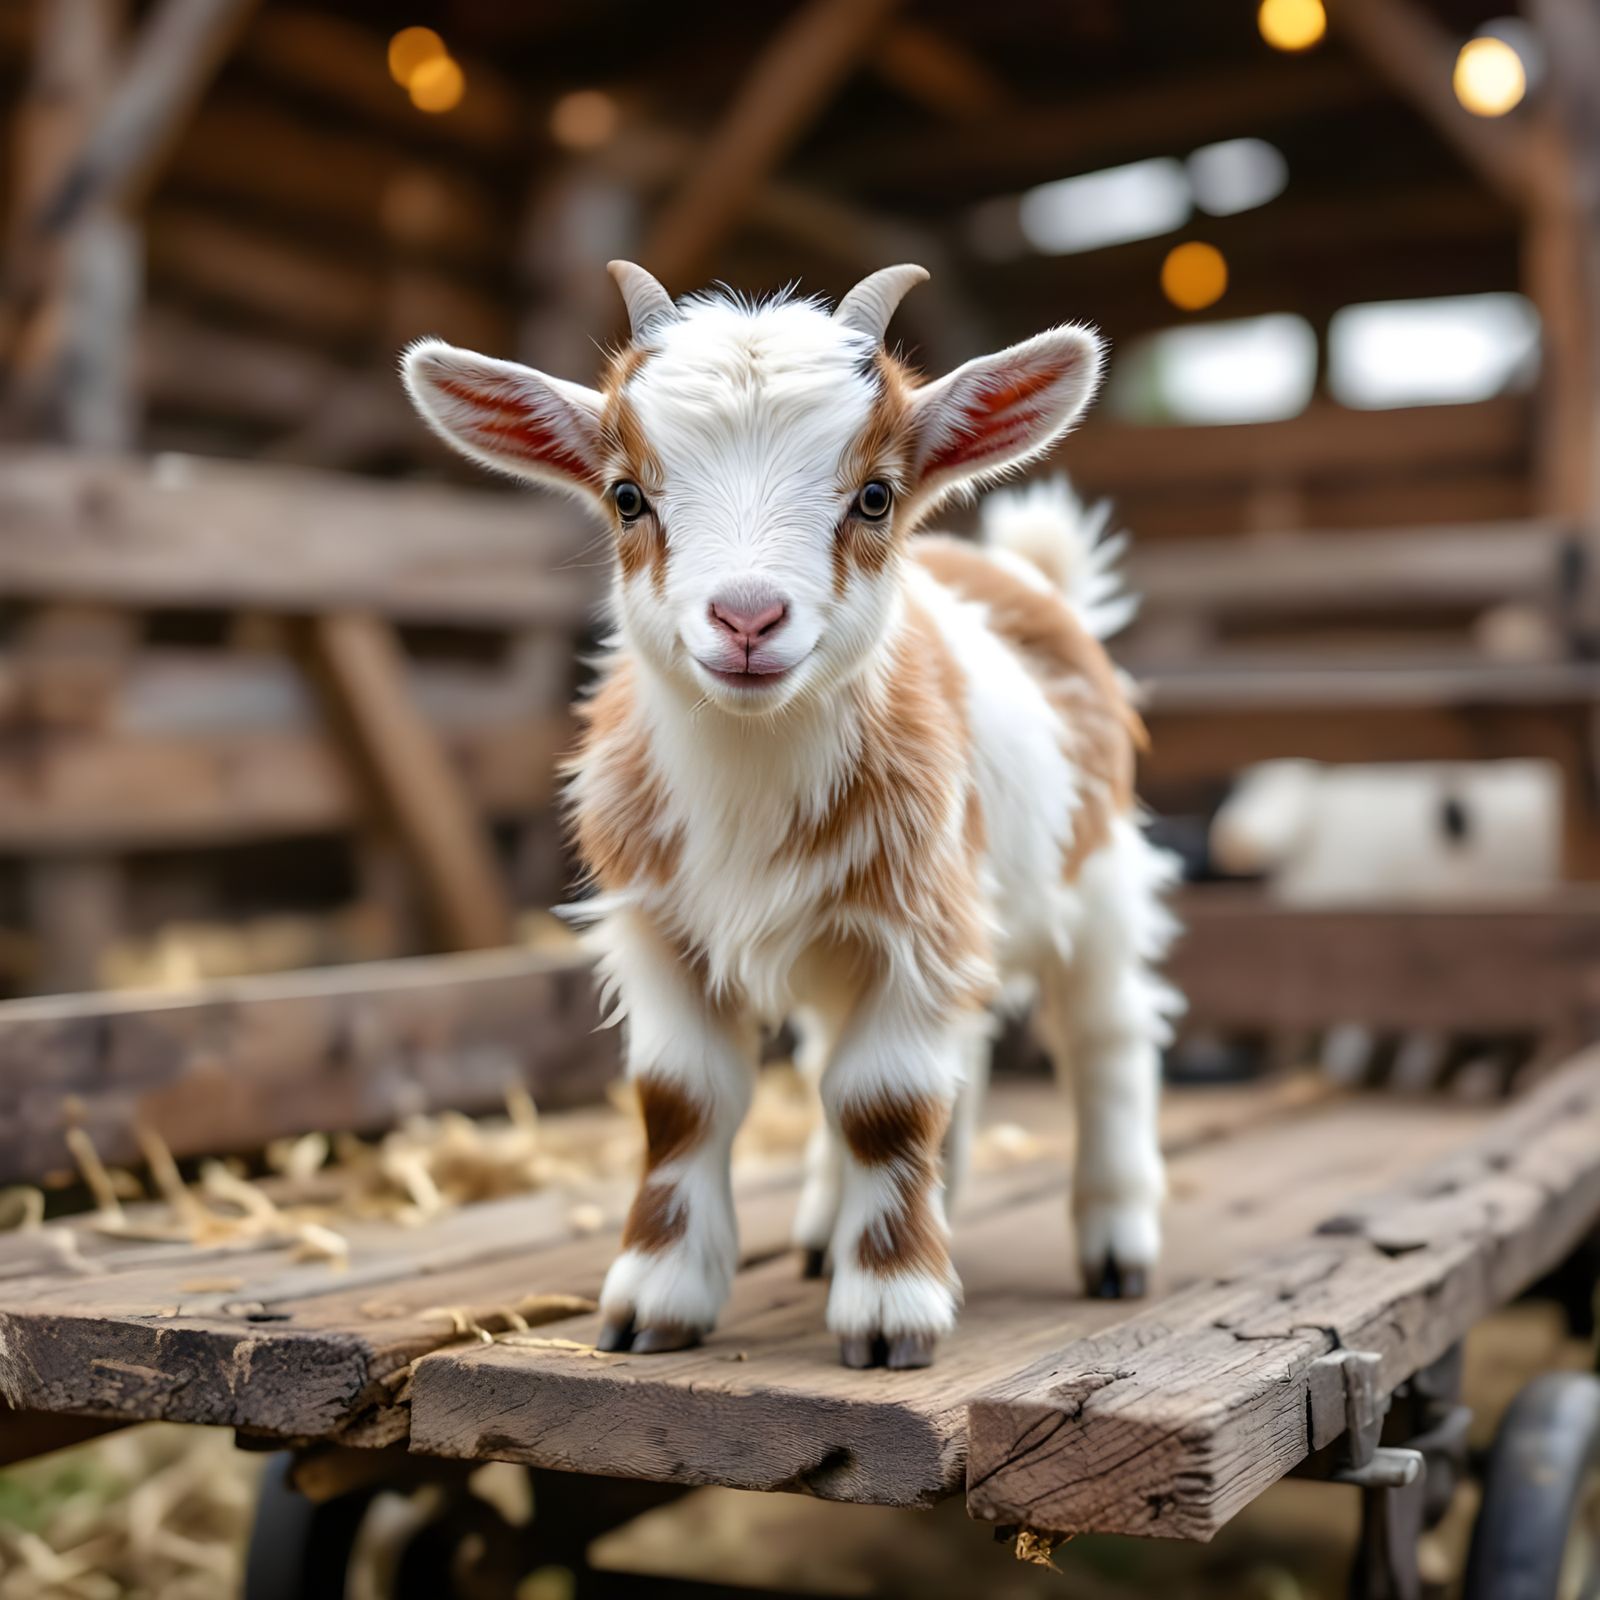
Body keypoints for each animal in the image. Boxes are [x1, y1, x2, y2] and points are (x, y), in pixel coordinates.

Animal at [402, 263, 1181, 1371]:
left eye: (874, 495)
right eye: (628, 494)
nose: (746, 618)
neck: (750, 770)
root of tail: (1024, 576)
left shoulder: (913, 921)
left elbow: (883, 1103)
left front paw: (892, 1310)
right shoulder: (661, 928)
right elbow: (685, 1099)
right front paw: (654, 1303)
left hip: (1099, 869)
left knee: (1107, 1031)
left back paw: (1115, 1242)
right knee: (920, 1059)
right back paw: (840, 1225)